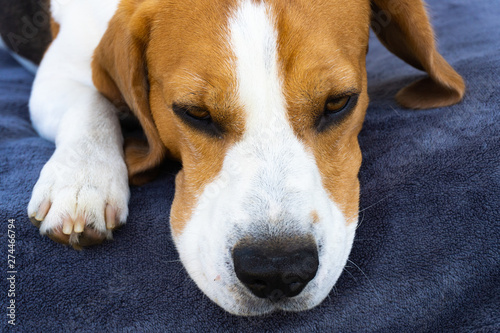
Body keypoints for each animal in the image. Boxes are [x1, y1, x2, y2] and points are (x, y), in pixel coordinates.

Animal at [18, 0, 464, 314]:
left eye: (338, 102)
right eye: (195, 113)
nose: (278, 270)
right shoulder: (55, 73)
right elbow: (90, 101)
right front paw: (81, 179)